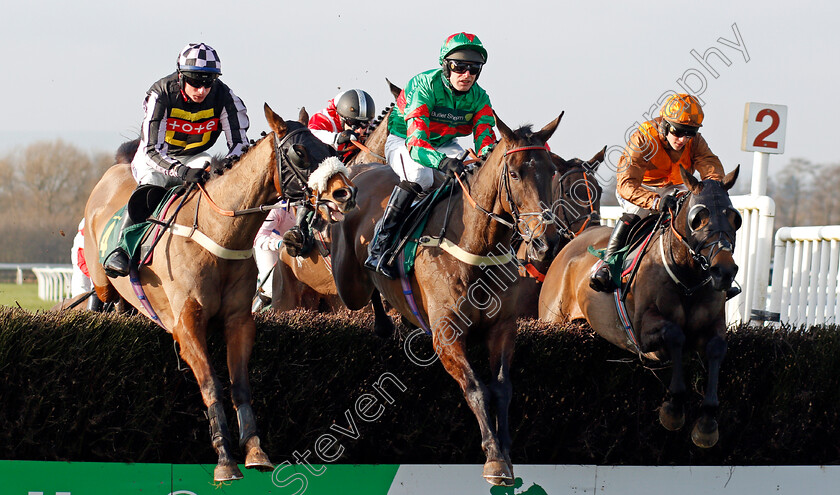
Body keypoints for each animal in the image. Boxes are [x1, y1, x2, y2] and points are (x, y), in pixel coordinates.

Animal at [84, 103, 358, 480]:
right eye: (299, 152)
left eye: (330, 149)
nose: (344, 193)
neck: (220, 233)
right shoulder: (187, 325)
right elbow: (212, 384)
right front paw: (225, 459)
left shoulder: (239, 321)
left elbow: (240, 386)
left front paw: (255, 451)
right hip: (101, 280)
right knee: (104, 297)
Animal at [332, 111, 560, 484]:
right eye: (514, 173)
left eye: (552, 171)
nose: (546, 243)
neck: (475, 245)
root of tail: (364, 168)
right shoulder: (446, 334)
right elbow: (476, 388)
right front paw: (494, 459)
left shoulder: (503, 328)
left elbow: (502, 388)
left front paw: (507, 452)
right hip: (348, 281)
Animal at [540, 167, 740, 450]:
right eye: (698, 219)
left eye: (735, 218)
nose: (724, 271)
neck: (686, 277)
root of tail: (573, 241)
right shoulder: (643, 333)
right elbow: (676, 335)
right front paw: (673, 409)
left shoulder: (714, 326)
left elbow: (716, 349)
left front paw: (707, 423)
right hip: (551, 319)